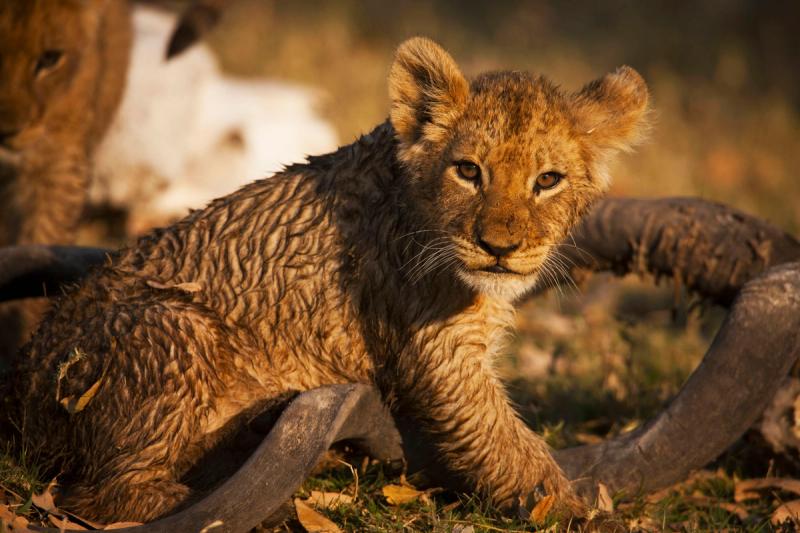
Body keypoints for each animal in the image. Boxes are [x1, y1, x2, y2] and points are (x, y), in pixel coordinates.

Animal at [16, 37, 650, 522]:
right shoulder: (442, 353)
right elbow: (508, 445)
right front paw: (571, 512)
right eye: (469, 171)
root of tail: (14, 387)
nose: (498, 248)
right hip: (175, 327)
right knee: (95, 495)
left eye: (548, 180)